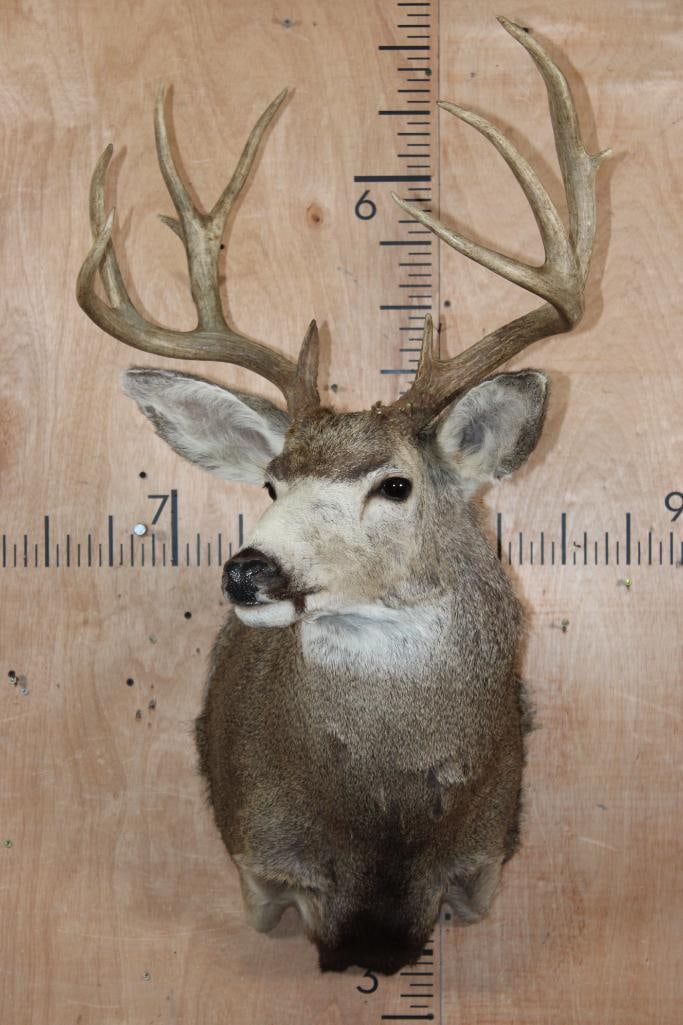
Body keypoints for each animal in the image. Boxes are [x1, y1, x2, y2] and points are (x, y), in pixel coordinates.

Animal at [76, 18, 609, 975]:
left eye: (394, 484)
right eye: (270, 480)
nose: (249, 569)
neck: (382, 811)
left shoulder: (482, 858)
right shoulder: (264, 856)